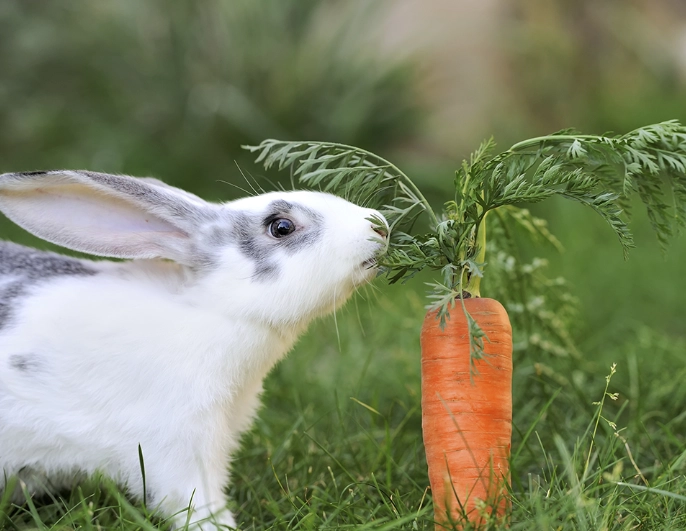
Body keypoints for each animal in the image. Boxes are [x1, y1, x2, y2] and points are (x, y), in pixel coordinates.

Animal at [0, 170, 389, 529]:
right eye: (281, 227)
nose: (381, 226)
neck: (213, 310)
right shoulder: (177, 447)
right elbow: (194, 501)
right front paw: (220, 525)